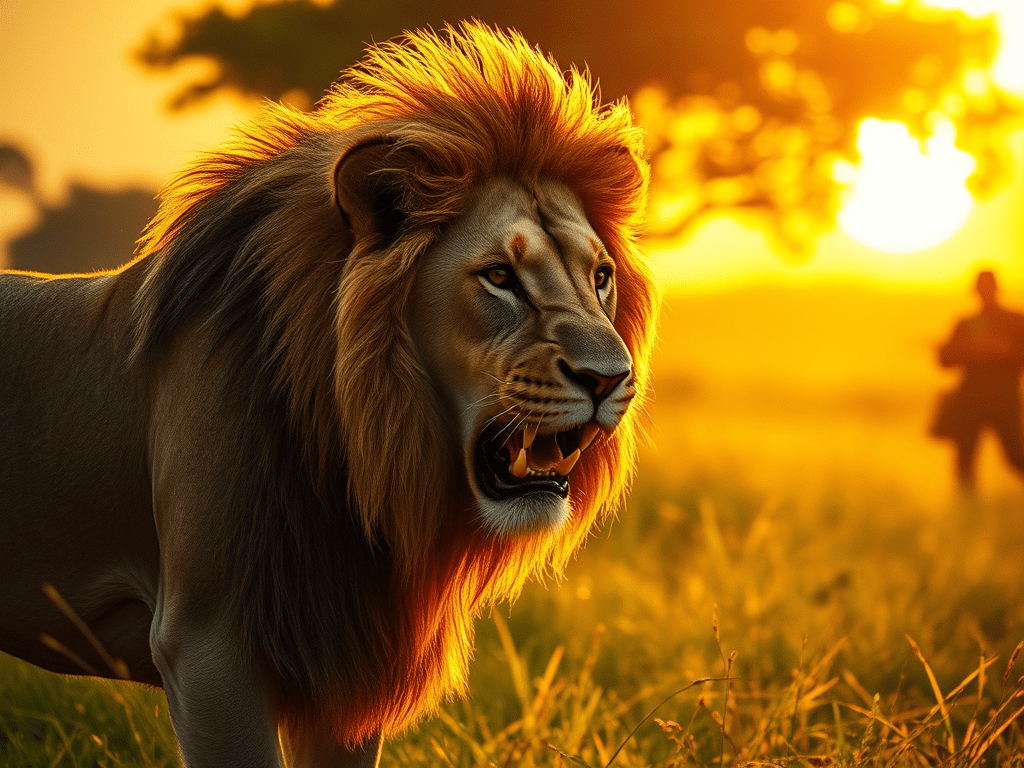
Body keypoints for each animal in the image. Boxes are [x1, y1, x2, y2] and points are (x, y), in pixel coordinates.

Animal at [0, 22, 658, 768]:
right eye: (499, 276)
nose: (610, 378)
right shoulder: (208, 644)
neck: (354, 453)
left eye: (600, 275)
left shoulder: (346, 655)